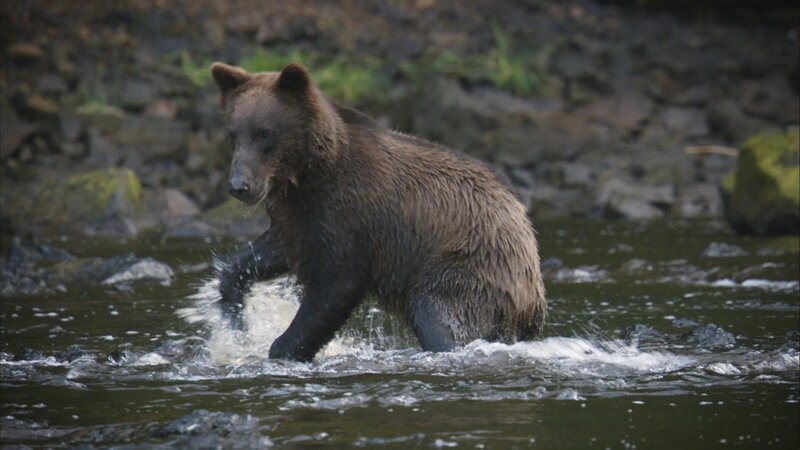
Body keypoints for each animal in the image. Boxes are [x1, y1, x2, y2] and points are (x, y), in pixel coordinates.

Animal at [210, 62, 546, 362]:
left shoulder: (349, 214)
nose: (239, 186)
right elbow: (270, 252)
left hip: (467, 268)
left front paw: (282, 348)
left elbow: (334, 287)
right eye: (233, 134)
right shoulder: (299, 217)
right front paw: (235, 315)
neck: (307, 174)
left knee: (441, 317)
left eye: (265, 133)